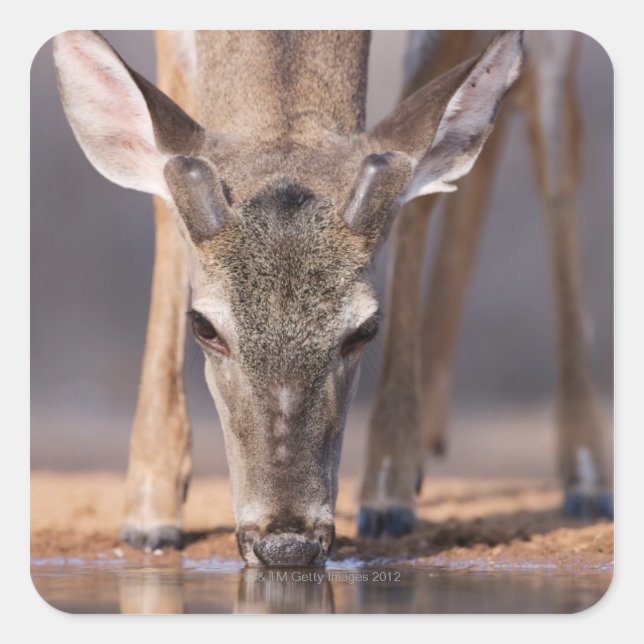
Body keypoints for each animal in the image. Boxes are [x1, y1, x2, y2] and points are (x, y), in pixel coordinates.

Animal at [51, 29, 611, 568]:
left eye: (365, 329)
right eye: (204, 326)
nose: (286, 544)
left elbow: (418, 188)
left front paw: (388, 493)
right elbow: (163, 196)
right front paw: (150, 511)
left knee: (556, 130)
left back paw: (585, 477)